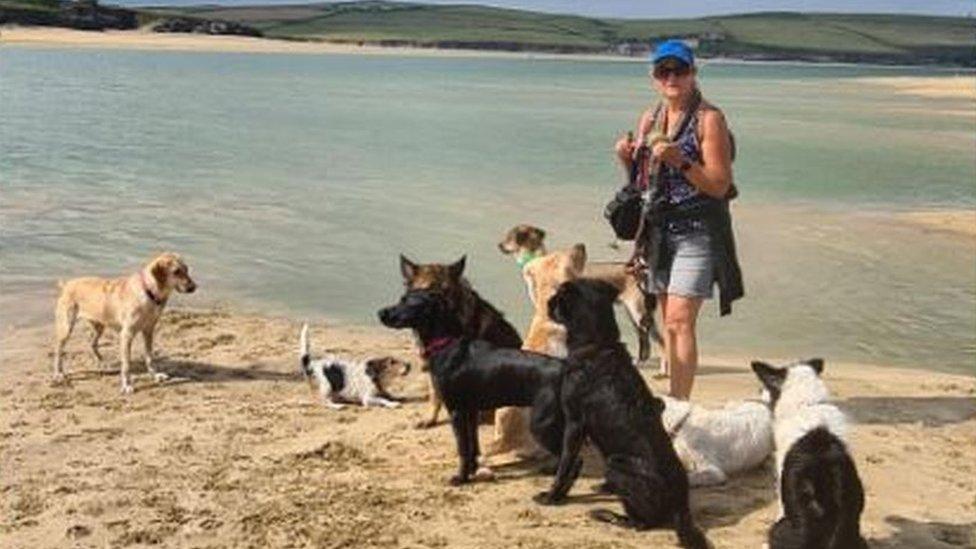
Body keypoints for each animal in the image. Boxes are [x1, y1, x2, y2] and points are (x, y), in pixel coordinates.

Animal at [54, 253, 198, 394]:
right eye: (176, 272)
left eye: (186, 269)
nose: (194, 287)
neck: (148, 292)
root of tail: (67, 284)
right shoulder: (127, 334)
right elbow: (126, 365)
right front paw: (127, 385)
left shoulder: (148, 330)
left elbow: (149, 357)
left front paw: (155, 375)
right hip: (66, 328)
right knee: (59, 351)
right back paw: (59, 373)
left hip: (99, 326)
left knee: (92, 343)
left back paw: (103, 363)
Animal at [380, 286, 568, 484]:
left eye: (406, 301)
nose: (380, 313)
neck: (448, 345)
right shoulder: (470, 411)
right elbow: (472, 446)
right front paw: (472, 470)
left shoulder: (456, 411)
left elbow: (463, 448)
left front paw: (461, 478)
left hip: (543, 422)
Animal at [532, 278, 708, 548]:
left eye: (560, 296)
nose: (548, 302)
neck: (597, 344)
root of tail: (681, 507)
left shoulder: (574, 423)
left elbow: (565, 464)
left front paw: (552, 496)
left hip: (617, 465)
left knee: (642, 523)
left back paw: (609, 515)